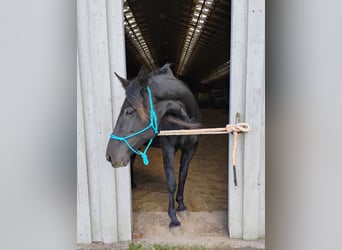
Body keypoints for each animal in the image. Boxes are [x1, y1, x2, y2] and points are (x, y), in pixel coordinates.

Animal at [106, 63, 200, 228]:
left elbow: (182, 176)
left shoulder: (190, 149)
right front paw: (173, 218)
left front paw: (181, 207)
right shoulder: (168, 149)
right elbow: (171, 182)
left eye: (129, 111)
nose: (109, 155)